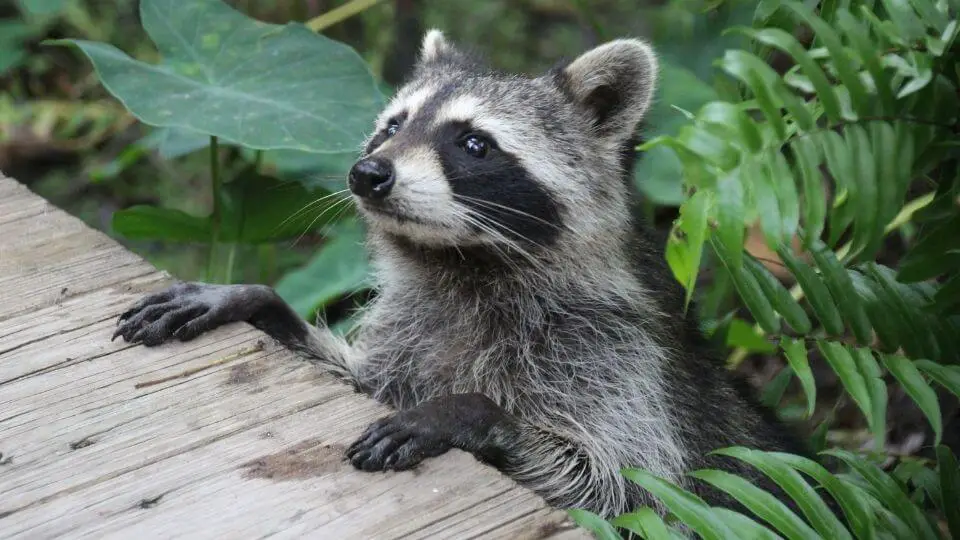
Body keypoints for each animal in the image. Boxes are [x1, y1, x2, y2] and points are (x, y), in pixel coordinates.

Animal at [116, 31, 812, 520]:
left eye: (474, 144)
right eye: (392, 125)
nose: (367, 173)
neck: (464, 263)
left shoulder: (615, 360)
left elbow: (622, 488)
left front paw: (468, 411)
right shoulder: (415, 330)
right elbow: (358, 377)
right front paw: (259, 303)